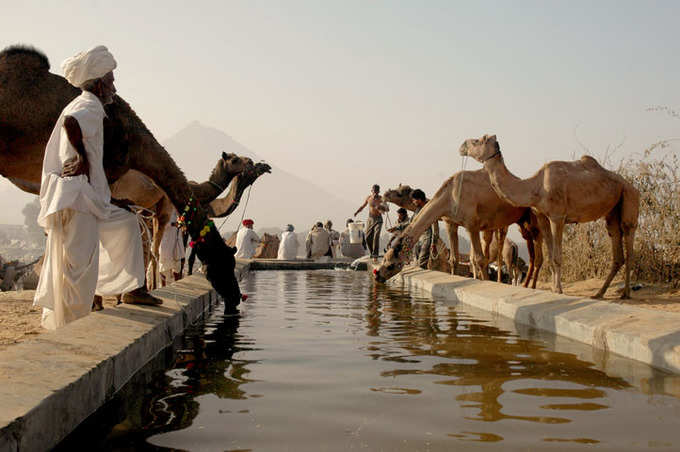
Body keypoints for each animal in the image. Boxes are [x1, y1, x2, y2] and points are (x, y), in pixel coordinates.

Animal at [460, 134, 640, 300]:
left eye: (477, 140)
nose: (462, 146)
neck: (536, 187)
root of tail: (630, 185)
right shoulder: (542, 217)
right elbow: (551, 257)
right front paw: (554, 289)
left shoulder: (557, 216)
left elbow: (557, 257)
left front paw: (559, 290)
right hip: (612, 211)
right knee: (616, 244)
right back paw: (599, 293)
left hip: (629, 196)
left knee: (629, 236)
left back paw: (626, 293)